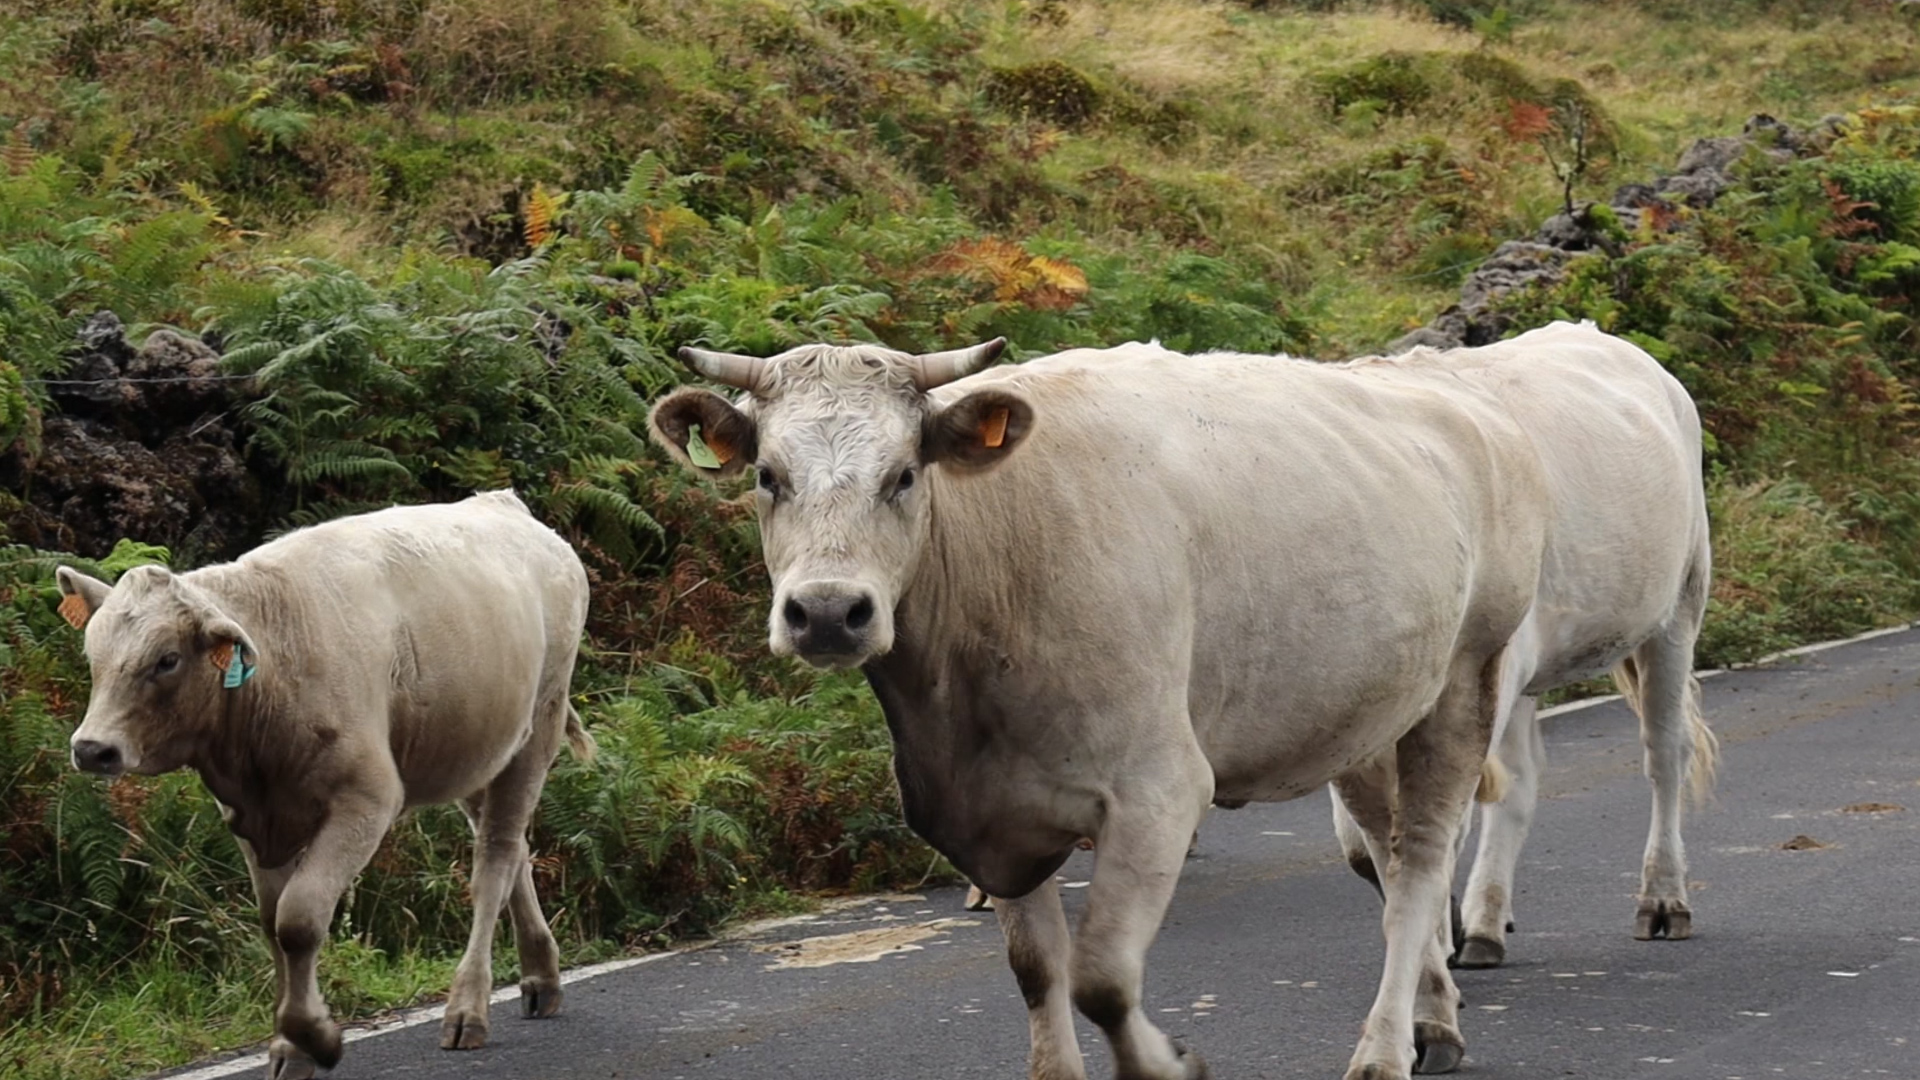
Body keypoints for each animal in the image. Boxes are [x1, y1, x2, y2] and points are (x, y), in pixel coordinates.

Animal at [1328, 320, 1720, 968]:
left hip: (1678, 605)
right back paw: (1487, 920)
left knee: (1665, 751)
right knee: (1523, 779)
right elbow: (1362, 847)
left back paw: (1663, 899)